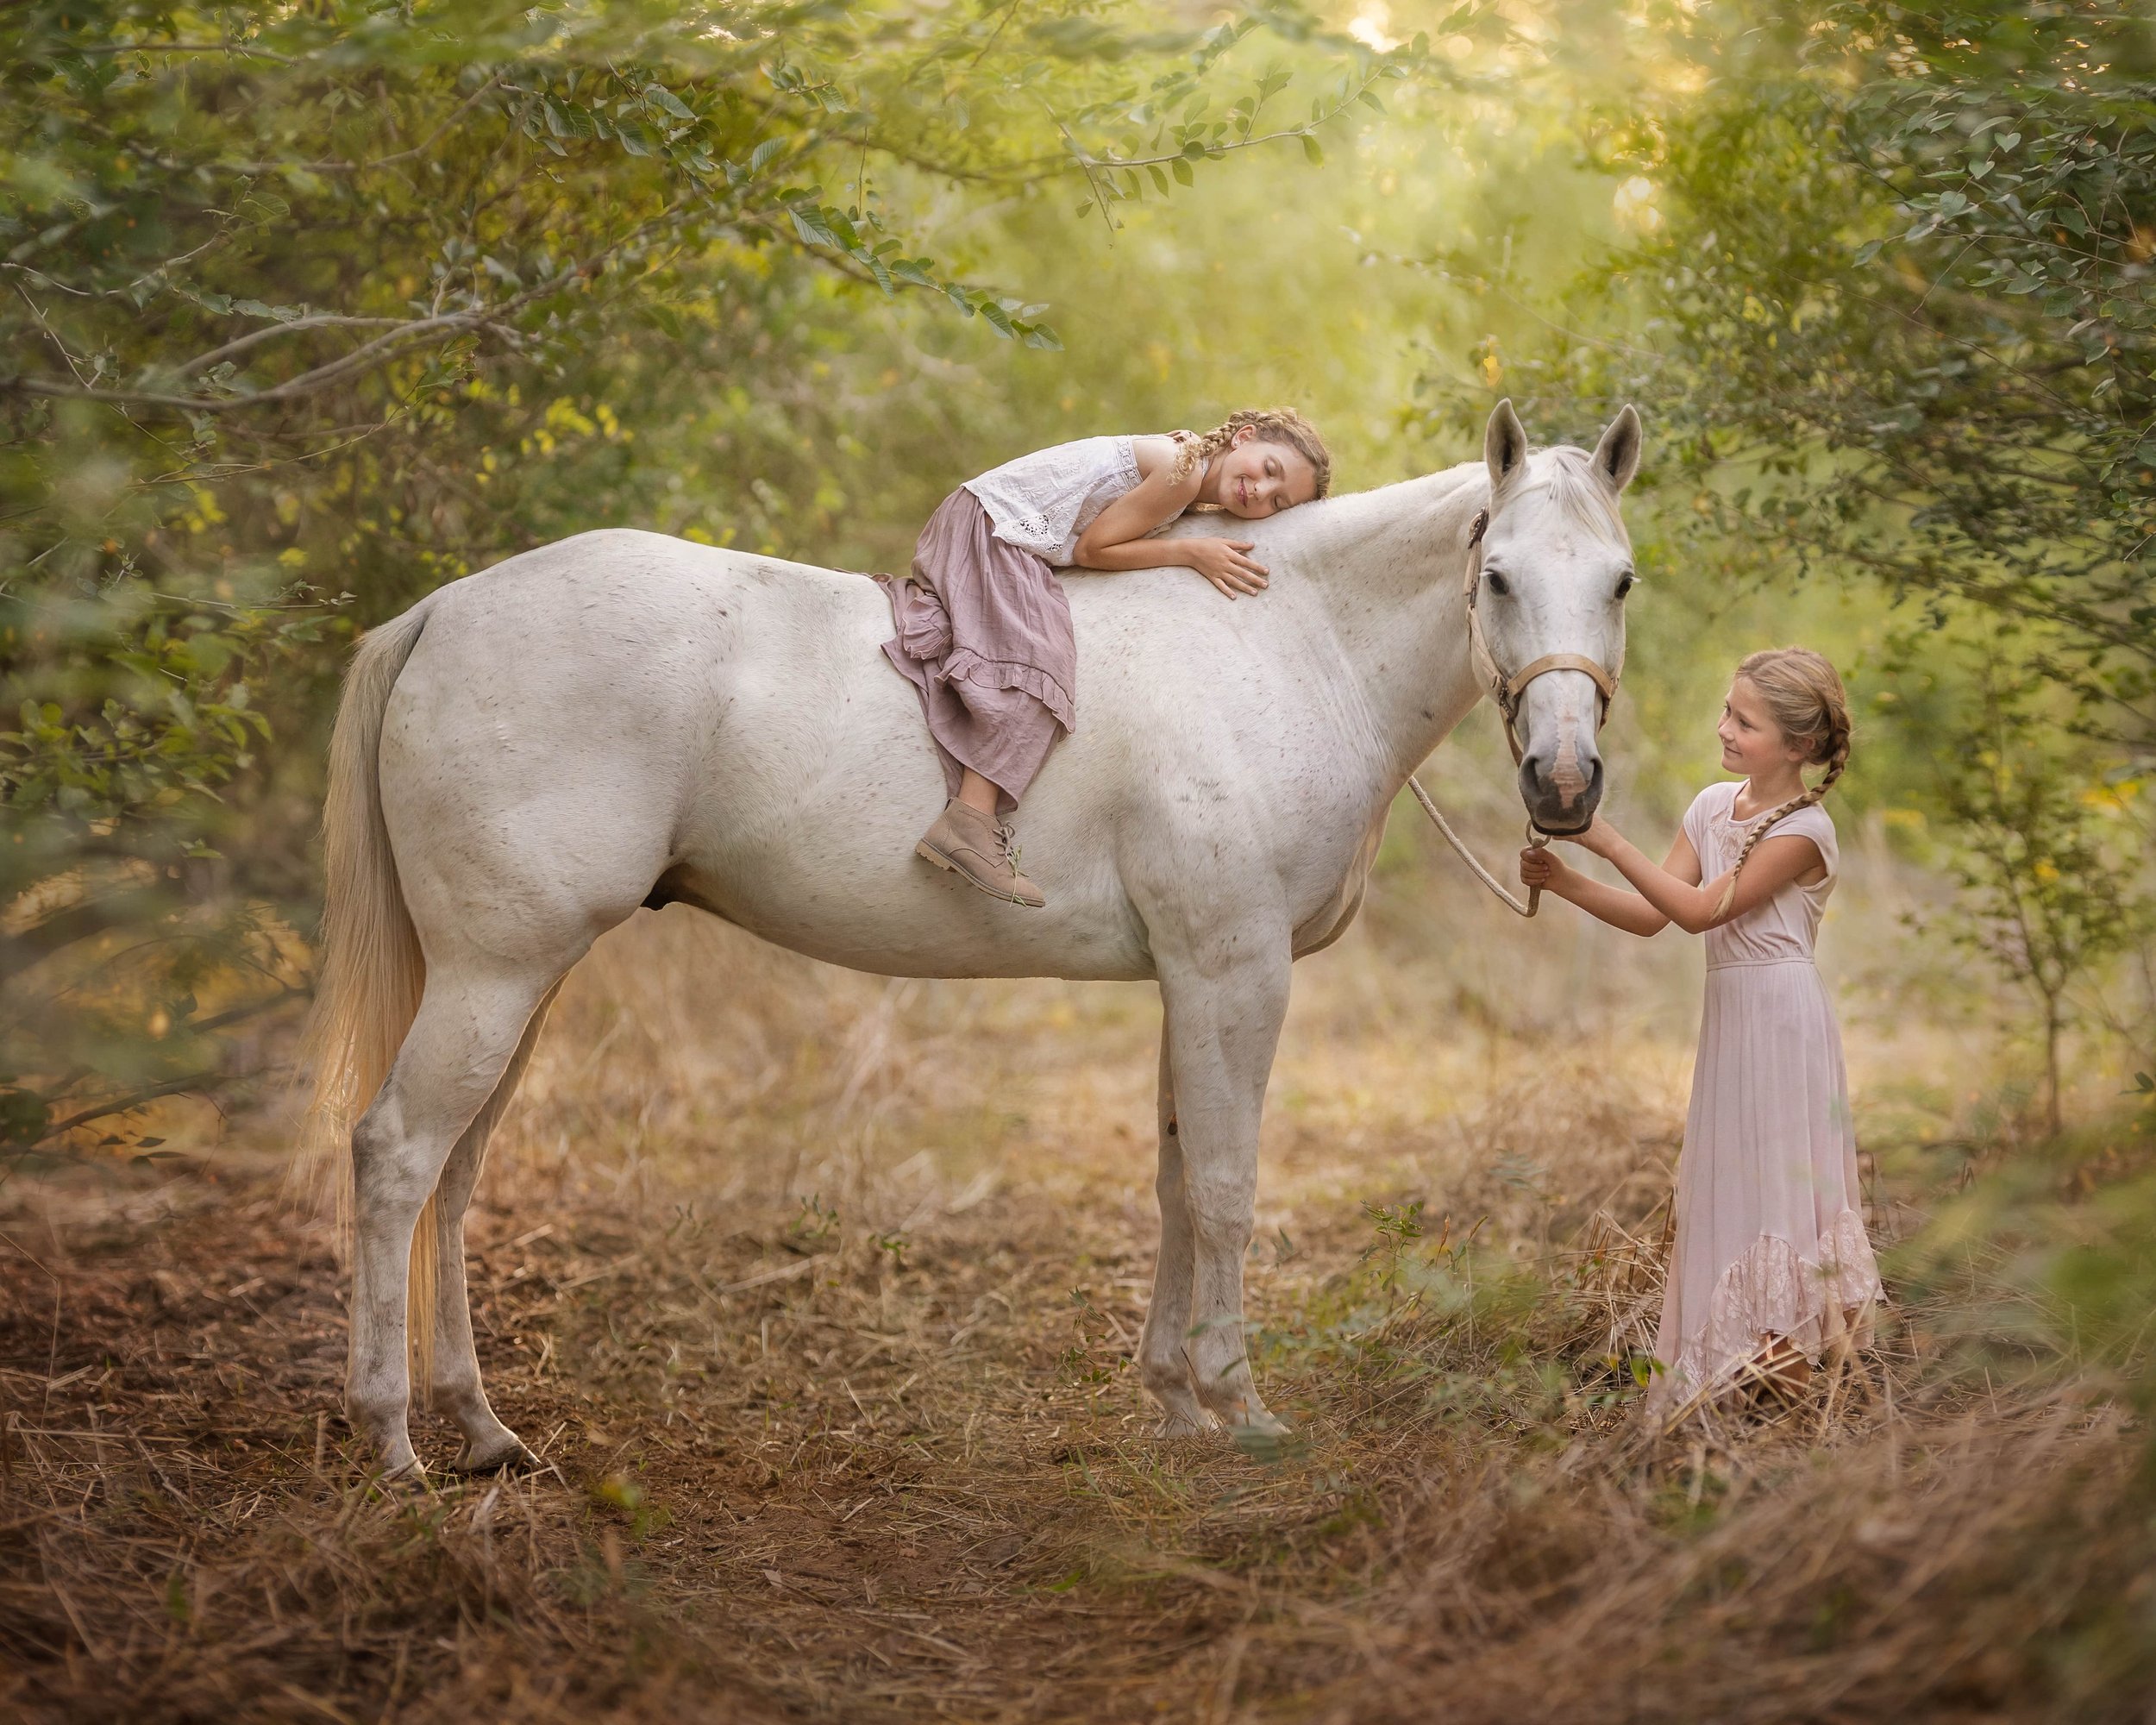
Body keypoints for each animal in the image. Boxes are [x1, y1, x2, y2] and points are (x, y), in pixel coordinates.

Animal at [304, 397, 1639, 1475]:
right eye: (1499, 575)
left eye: (1620, 580)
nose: (1567, 785)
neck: (1286, 641)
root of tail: (443, 611)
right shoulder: (1234, 968)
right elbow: (1223, 1187)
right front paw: (1241, 1405)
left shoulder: (1190, 976)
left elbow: (1172, 1181)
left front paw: (1173, 1402)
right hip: (495, 971)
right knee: (397, 1156)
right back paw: (392, 1439)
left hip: (515, 980)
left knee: (456, 1175)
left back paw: (482, 1430)